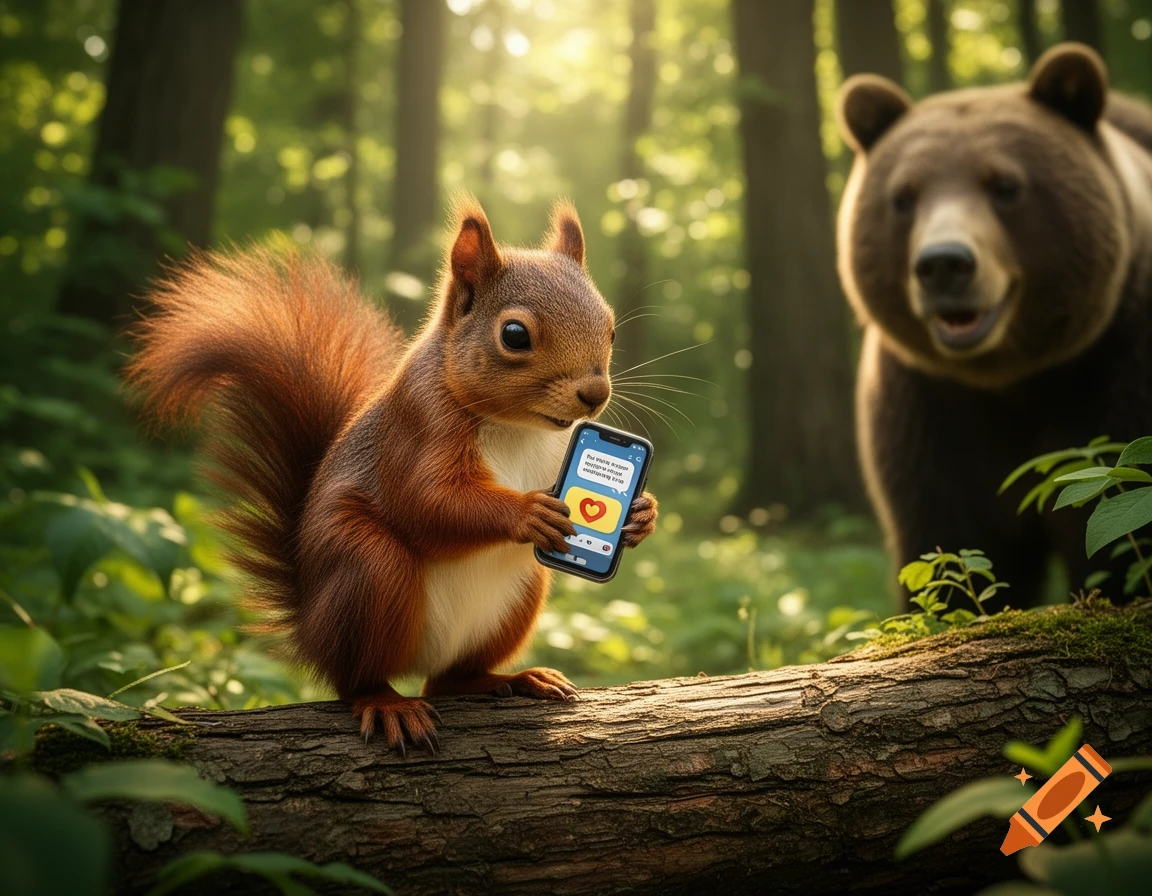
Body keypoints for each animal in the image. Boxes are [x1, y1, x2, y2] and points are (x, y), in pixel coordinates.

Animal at [127, 198, 658, 754]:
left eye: (611, 327)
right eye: (514, 335)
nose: (595, 395)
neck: (520, 427)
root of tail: (311, 627)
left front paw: (642, 513)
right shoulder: (416, 426)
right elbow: (426, 502)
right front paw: (527, 511)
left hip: (521, 593)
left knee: (447, 680)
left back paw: (514, 679)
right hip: (367, 570)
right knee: (355, 678)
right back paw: (386, 703)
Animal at [835, 43, 1152, 609]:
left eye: (1005, 186)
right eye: (904, 196)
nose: (943, 264)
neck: (1011, 379)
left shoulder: (1116, 371)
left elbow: (1118, 520)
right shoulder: (929, 407)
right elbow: (954, 540)